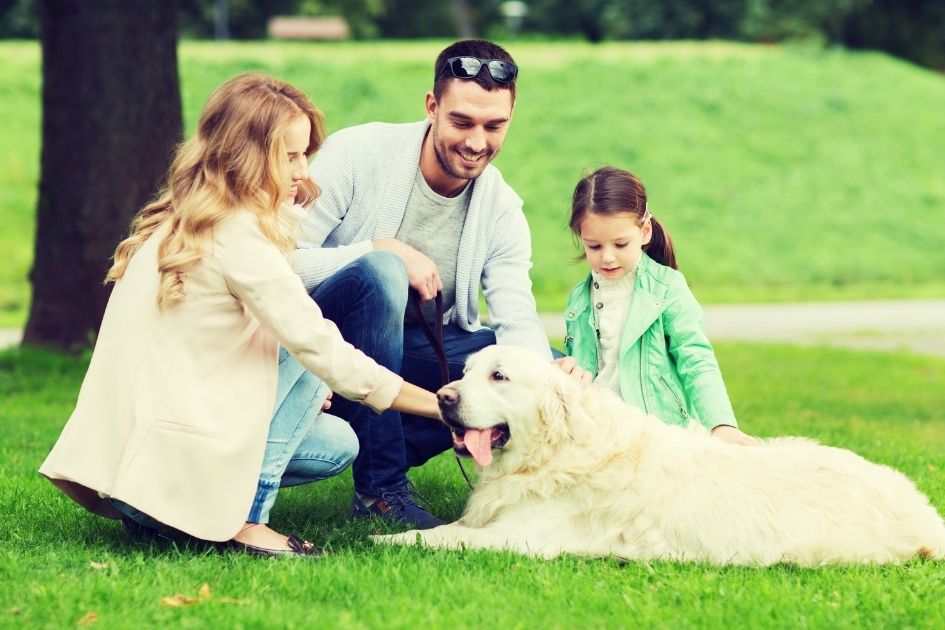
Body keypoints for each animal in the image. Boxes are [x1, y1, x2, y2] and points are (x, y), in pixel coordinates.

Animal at [374, 346, 944, 568]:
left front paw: (382, 538)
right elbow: (447, 527)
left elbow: (443, 536)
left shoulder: (524, 538)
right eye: (467, 372)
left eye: (499, 376)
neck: (557, 450)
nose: (443, 397)